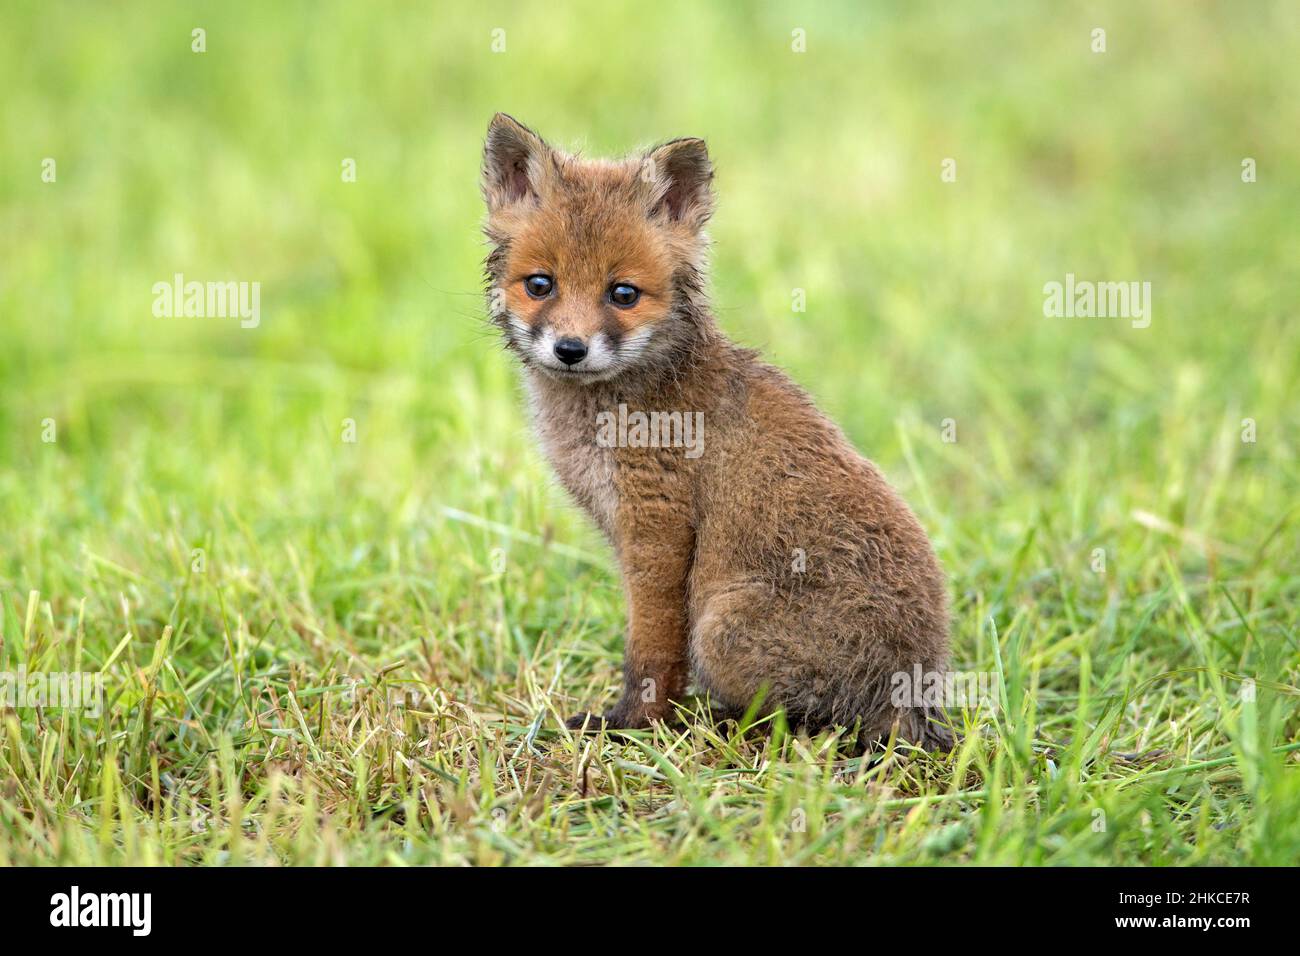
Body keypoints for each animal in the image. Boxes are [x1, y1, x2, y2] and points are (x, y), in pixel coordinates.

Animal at [481, 113, 952, 749]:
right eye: (540, 284)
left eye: (623, 294)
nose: (570, 350)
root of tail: (918, 697)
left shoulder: (657, 528)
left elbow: (652, 652)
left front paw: (632, 725)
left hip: (721, 628)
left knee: (802, 725)